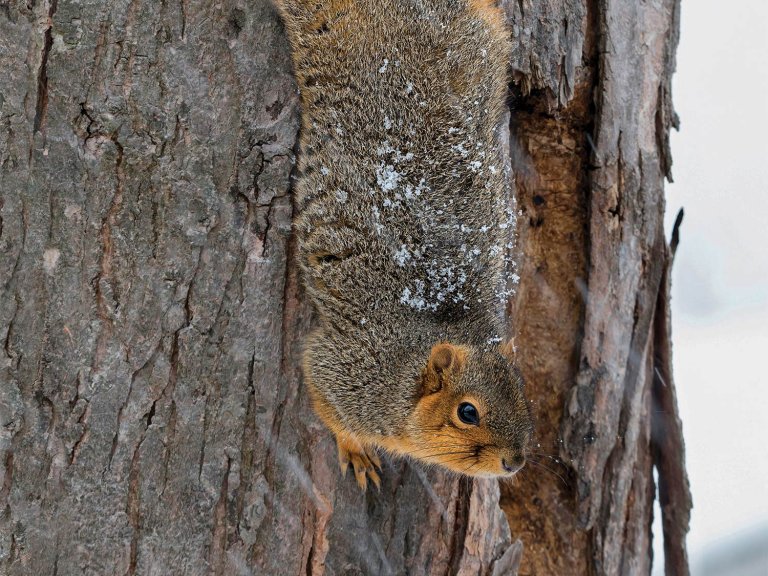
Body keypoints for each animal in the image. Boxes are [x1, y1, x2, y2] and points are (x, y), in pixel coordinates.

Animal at [275, 0, 533, 489]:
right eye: (467, 412)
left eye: (525, 397)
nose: (515, 462)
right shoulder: (345, 372)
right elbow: (324, 398)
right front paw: (356, 452)